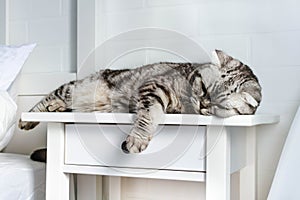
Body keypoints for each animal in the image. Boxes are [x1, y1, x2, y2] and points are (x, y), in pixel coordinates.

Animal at [19, 49, 262, 153]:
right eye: (204, 88)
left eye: (219, 104)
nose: (203, 104)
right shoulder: (154, 87)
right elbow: (148, 116)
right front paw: (137, 139)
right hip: (77, 89)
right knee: (52, 95)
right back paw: (29, 118)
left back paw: (55, 109)